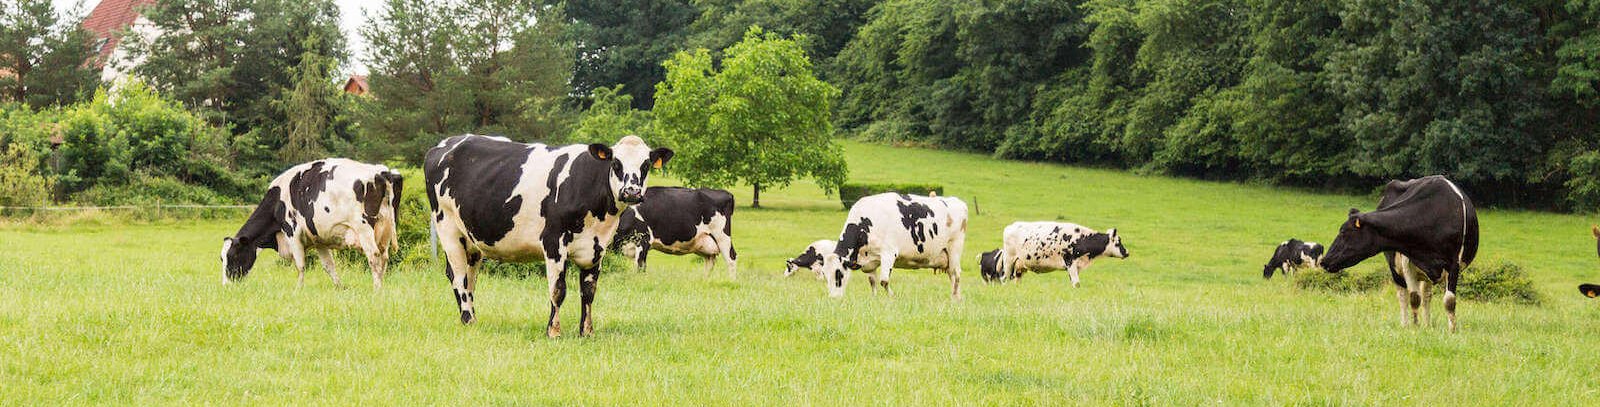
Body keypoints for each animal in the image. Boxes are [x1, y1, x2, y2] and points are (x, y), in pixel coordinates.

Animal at [221, 159, 403, 290]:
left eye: (233, 256)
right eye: (221, 258)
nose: (226, 285)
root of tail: (382, 172)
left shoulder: (292, 232)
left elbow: (301, 265)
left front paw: (298, 289)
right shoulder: (319, 239)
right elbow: (329, 266)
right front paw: (340, 287)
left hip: (364, 228)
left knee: (374, 257)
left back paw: (377, 289)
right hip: (386, 228)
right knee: (384, 258)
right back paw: (381, 285)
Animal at [425, 134, 671, 337]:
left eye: (646, 164)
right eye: (616, 163)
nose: (632, 192)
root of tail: (444, 144)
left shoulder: (597, 248)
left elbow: (589, 292)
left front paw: (587, 331)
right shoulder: (554, 242)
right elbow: (558, 289)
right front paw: (553, 331)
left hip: (472, 240)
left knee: (470, 278)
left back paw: (472, 317)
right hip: (447, 227)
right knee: (458, 275)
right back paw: (468, 319)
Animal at [816, 192, 968, 298]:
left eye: (839, 274)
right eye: (825, 275)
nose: (833, 298)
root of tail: (958, 201)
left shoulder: (889, 253)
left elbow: (884, 281)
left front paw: (892, 296)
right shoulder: (869, 262)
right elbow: (872, 281)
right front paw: (874, 298)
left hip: (955, 248)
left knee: (956, 275)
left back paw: (954, 298)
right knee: (952, 276)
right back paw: (957, 297)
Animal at [976, 221, 1129, 286]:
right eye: (1118, 242)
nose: (1127, 252)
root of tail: (1010, 226)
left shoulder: (1075, 265)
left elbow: (1074, 282)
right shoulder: (1069, 260)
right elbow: (1077, 283)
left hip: (1019, 266)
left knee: (1016, 280)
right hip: (1009, 260)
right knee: (1003, 278)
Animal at [1319, 175, 1479, 332]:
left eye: (1343, 232)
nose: (1324, 260)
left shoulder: (1454, 262)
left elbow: (1449, 301)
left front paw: (1452, 330)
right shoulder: (1407, 260)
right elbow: (1414, 298)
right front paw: (1415, 327)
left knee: (1427, 295)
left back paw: (1427, 325)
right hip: (1395, 269)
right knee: (1403, 295)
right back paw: (1406, 324)